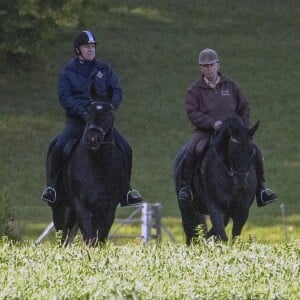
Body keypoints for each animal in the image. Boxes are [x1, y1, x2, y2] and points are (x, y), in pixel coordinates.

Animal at [47, 99, 129, 245]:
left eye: (110, 114)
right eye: (87, 113)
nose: (93, 138)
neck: (97, 165)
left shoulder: (108, 208)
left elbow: (100, 238)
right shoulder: (81, 205)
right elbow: (89, 237)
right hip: (60, 207)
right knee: (62, 236)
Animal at [175, 115, 258, 244]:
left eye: (251, 151)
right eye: (232, 152)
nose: (240, 183)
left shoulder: (242, 211)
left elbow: (234, 238)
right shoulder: (216, 209)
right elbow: (222, 237)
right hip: (186, 208)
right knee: (190, 235)